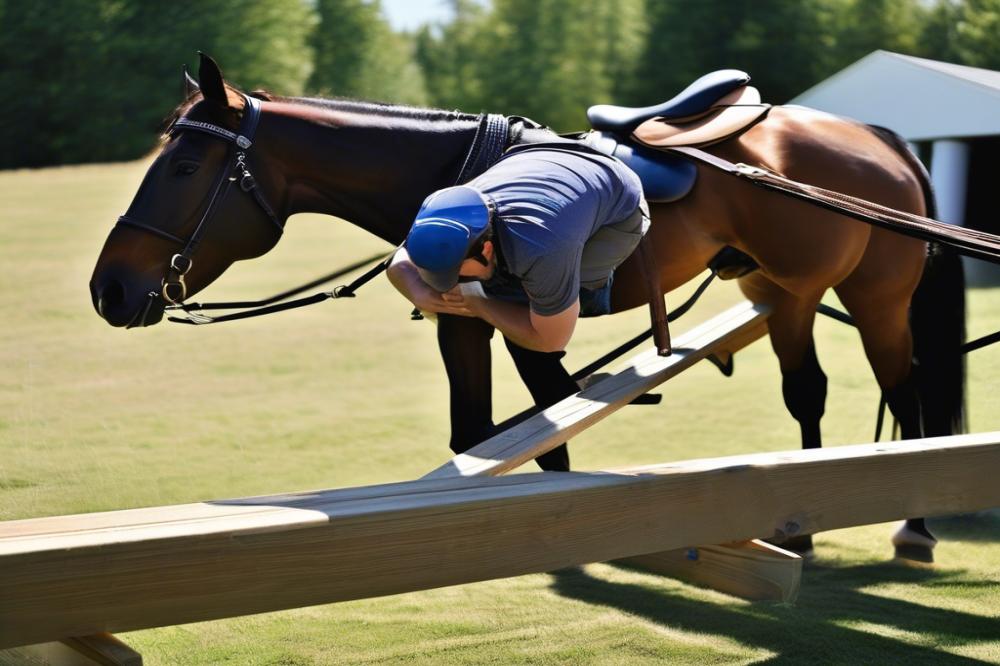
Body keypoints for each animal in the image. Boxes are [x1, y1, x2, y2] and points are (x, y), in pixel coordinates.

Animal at [92, 54, 960, 560]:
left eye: (184, 166)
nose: (110, 288)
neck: (456, 177)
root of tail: (876, 136)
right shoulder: (466, 325)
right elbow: (486, 433)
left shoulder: (532, 314)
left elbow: (549, 429)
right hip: (773, 291)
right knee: (819, 392)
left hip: (854, 293)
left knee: (887, 386)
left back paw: (906, 525)